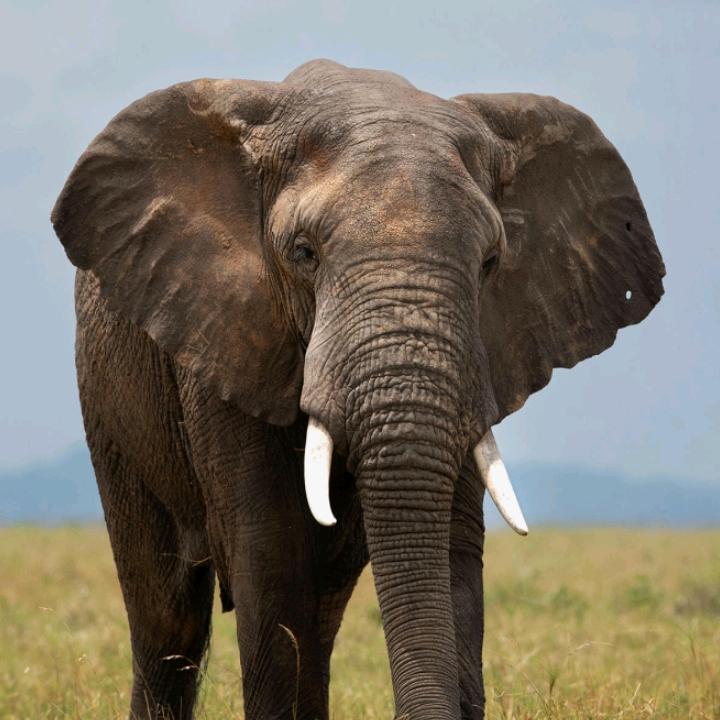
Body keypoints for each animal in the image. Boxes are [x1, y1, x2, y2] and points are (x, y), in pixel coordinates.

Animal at [51, 59, 665, 720]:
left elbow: (451, 553)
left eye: (490, 263)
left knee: (316, 621)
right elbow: (271, 560)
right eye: (303, 253)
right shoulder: (227, 333)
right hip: (110, 401)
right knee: (167, 619)